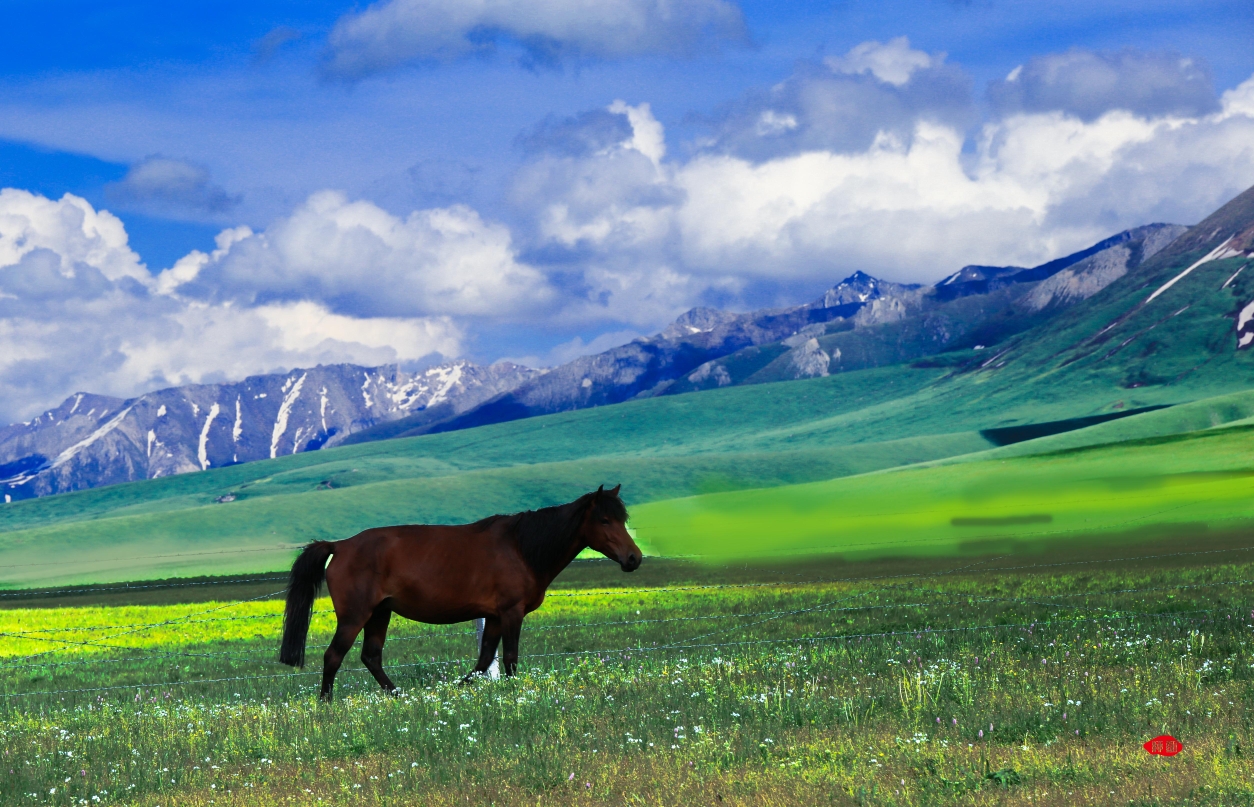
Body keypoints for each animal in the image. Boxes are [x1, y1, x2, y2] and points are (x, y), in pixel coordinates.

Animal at [278, 486, 642, 701]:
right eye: (605, 520)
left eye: (623, 518)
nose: (634, 558)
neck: (521, 548)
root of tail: (340, 546)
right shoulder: (511, 613)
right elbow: (509, 659)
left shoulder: (494, 617)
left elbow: (483, 662)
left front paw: (457, 687)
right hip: (355, 616)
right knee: (333, 657)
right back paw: (326, 705)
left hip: (380, 613)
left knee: (371, 657)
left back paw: (400, 696)